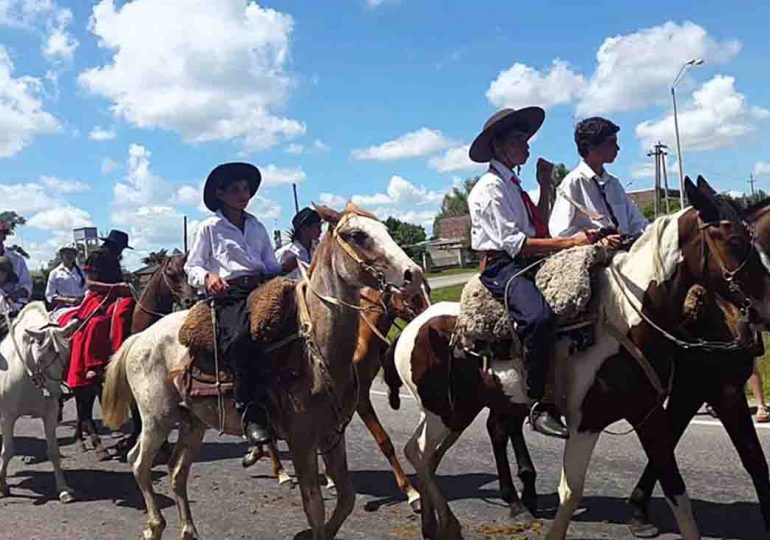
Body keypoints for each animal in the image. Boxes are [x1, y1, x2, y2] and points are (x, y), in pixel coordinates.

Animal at [0, 302, 79, 504]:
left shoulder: (50, 414)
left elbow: (53, 451)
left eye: (66, 355)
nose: (56, 393)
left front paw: (63, 490)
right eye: (41, 357)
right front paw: (3, 486)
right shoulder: (7, 417)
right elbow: (8, 451)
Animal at [392, 178, 768, 540]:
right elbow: (570, 493)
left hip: (463, 411)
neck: (624, 318)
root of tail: (412, 327)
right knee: (419, 453)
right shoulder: (586, 422)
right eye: (734, 240)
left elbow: (678, 491)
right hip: (445, 412)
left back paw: (441, 522)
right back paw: (452, 522)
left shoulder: (648, 415)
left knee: (432, 452)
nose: (762, 311)